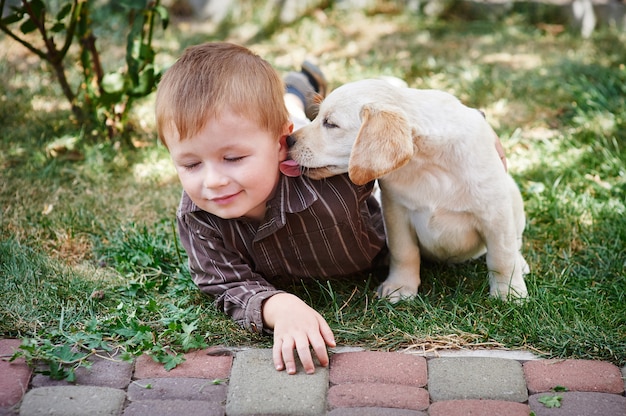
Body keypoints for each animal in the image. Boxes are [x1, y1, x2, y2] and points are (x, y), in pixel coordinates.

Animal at [288, 78, 528, 300]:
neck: (426, 164)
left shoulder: (495, 211)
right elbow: (404, 252)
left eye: (330, 123)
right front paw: (400, 287)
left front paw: (509, 292)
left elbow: (502, 256)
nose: (288, 139)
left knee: (515, 241)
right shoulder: (395, 211)